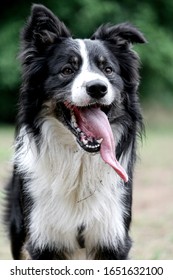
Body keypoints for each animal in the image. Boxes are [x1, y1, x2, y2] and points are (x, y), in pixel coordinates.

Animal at [4, 3, 146, 260]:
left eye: (108, 69)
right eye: (67, 70)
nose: (98, 88)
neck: (79, 161)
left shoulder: (112, 238)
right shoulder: (43, 241)